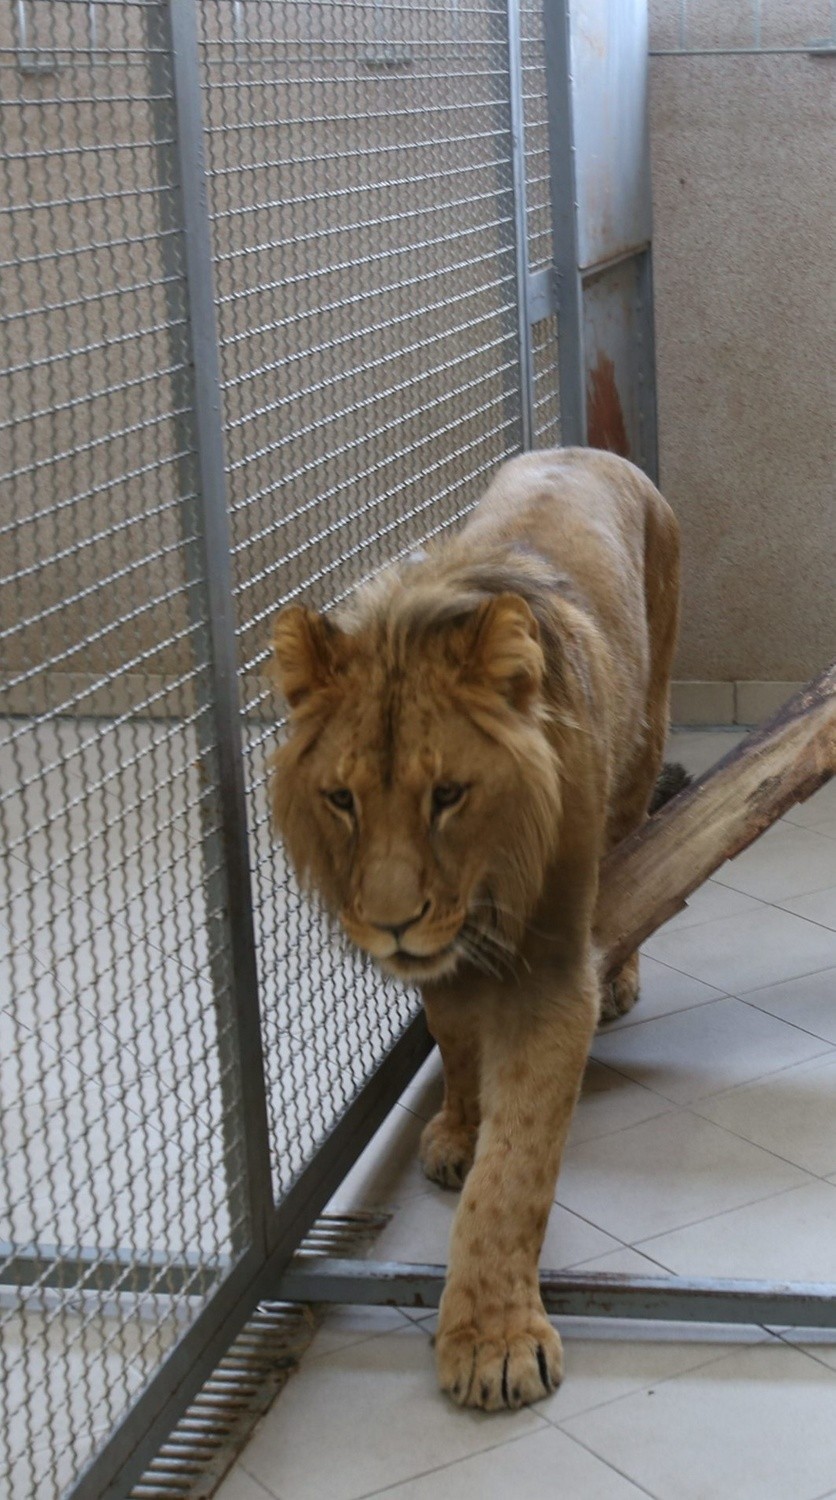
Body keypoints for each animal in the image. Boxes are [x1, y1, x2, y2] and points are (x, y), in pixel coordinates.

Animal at [267, 444, 678, 1404]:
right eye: (341, 799)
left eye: (448, 794)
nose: (391, 925)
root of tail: (589, 449)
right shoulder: (443, 961)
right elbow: (453, 1033)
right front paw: (459, 1125)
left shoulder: (552, 968)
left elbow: (517, 1164)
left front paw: (494, 1340)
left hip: (649, 721)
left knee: (637, 835)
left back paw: (626, 975)